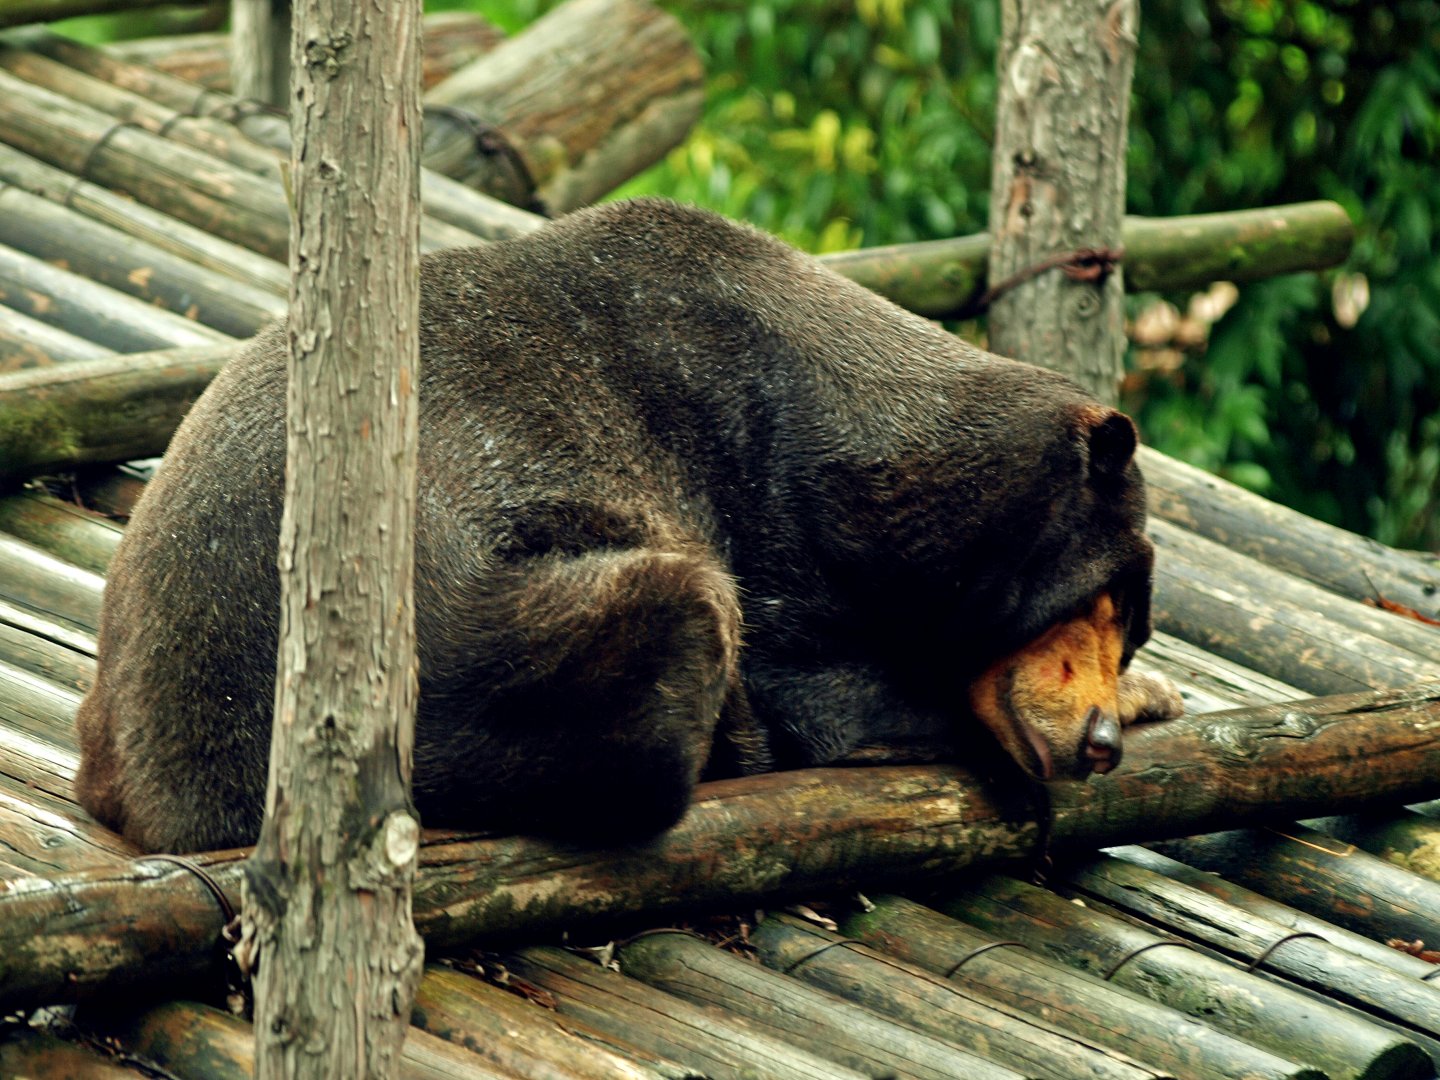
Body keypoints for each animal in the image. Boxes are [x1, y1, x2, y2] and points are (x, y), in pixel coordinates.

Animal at [74, 198, 1182, 854]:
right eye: (1097, 600)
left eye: (1125, 623)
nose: (1096, 742)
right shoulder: (777, 523)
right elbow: (830, 685)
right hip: (437, 657)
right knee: (669, 633)